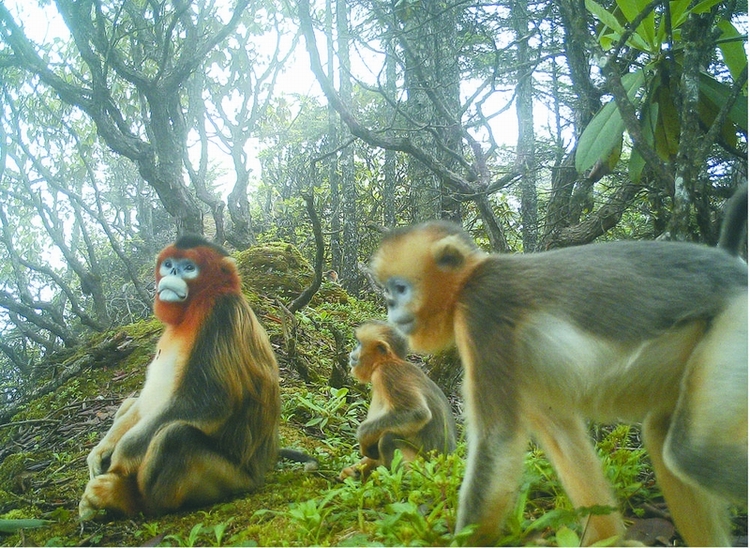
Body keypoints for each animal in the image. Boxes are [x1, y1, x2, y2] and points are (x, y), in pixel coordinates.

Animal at [340, 322, 458, 480]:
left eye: (359, 343)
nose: (353, 349)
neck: (387, 362)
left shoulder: (387, 373)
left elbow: (418, 413)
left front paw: (362, 438)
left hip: (424, 468)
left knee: (388, 439)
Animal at [368, 196, 748, 544]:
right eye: (388, 292)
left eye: (400, 289)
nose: (390, 306)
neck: (468, 283)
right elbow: (559, 431)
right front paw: (608, 541)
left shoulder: (483, 310)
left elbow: (499, 441)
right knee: (662, 431)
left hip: (737, 322)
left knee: (692, 454)